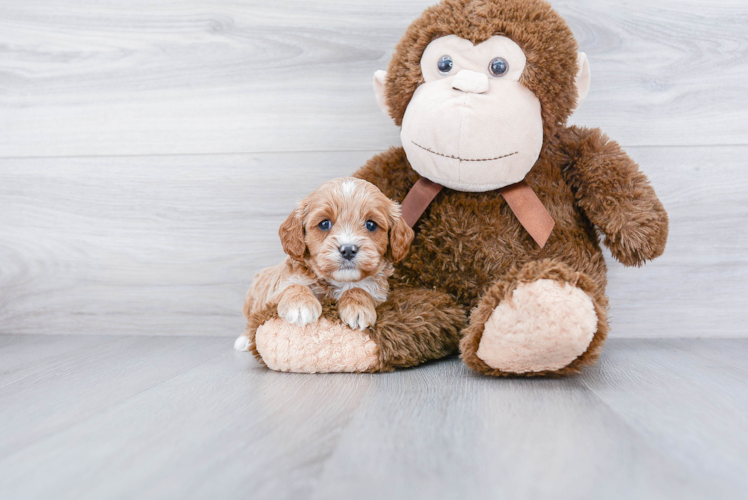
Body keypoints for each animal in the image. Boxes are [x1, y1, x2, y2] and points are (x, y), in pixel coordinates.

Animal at [234, 178, 412, 350]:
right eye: (324, 224)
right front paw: (300, 305)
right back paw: (244, 340)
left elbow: (359, 289)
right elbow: (292, 285)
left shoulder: (378, 294)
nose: (348, 249)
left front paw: (358, 308)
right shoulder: (273, 293)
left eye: (371, 225)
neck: (339, 282)